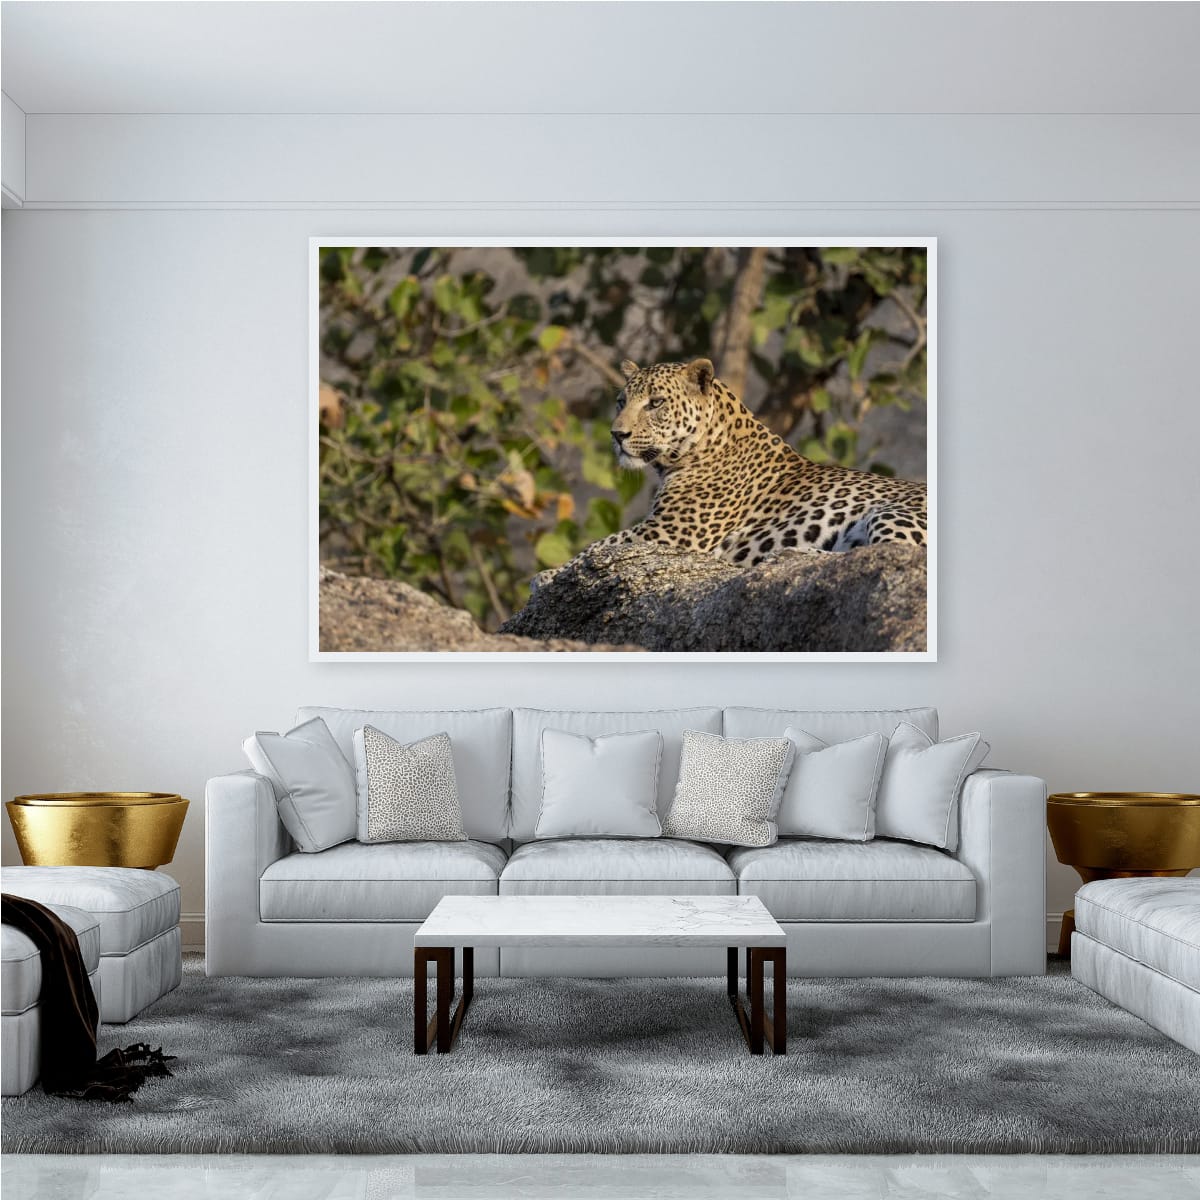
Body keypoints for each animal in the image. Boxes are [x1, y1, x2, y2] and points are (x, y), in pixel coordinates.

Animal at [586, 356, 927, 566]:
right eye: (621, 402)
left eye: (656, 403)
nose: (617, 434)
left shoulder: (669, 532)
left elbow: (597, 547)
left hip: (891, 513)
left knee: (892, 552)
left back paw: (792, 554)